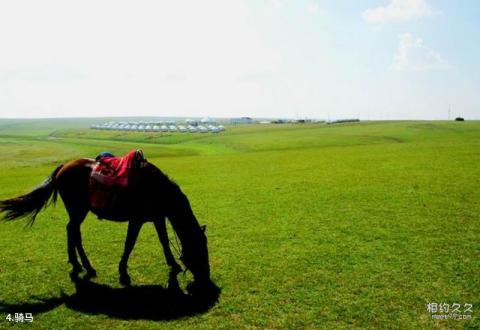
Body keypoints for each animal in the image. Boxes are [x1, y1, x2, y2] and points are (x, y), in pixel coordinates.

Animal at [0, 159, 214, 292]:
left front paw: (173, 264)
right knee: (73, 231)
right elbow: (129, 243)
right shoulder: (136, 220)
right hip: (78, 210)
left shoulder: (157, 217)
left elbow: (163, 241)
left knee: (71, 231)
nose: (206, 278)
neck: (155, 187)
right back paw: (85, 265)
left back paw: (79, 264)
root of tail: (63, 167)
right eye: (201, 250)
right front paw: (123, 270)